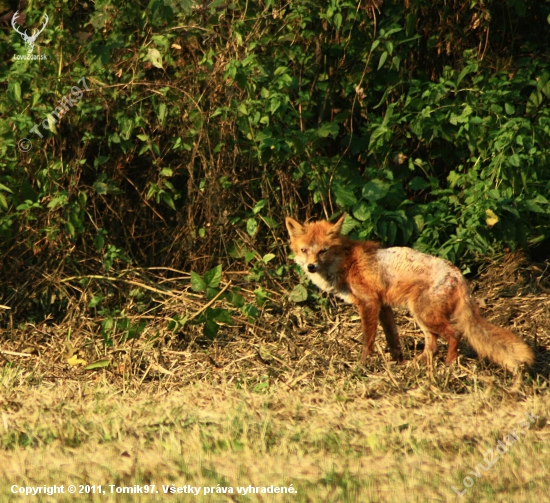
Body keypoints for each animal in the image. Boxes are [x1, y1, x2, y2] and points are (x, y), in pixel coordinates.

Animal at [286, 215, 536, 372]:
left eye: (323, 251)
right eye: (304, 250)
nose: (311, 267)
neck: (346, 262)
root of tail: (457, 274)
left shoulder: (369, 303)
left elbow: (368, 340)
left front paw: (363, 365)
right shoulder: (383, 305)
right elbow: (392, 338)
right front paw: (398, 362)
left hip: (424, 315)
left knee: (454, 334)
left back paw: (448, 366)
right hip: (422, 318)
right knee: (432, 345)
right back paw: (418, 365)